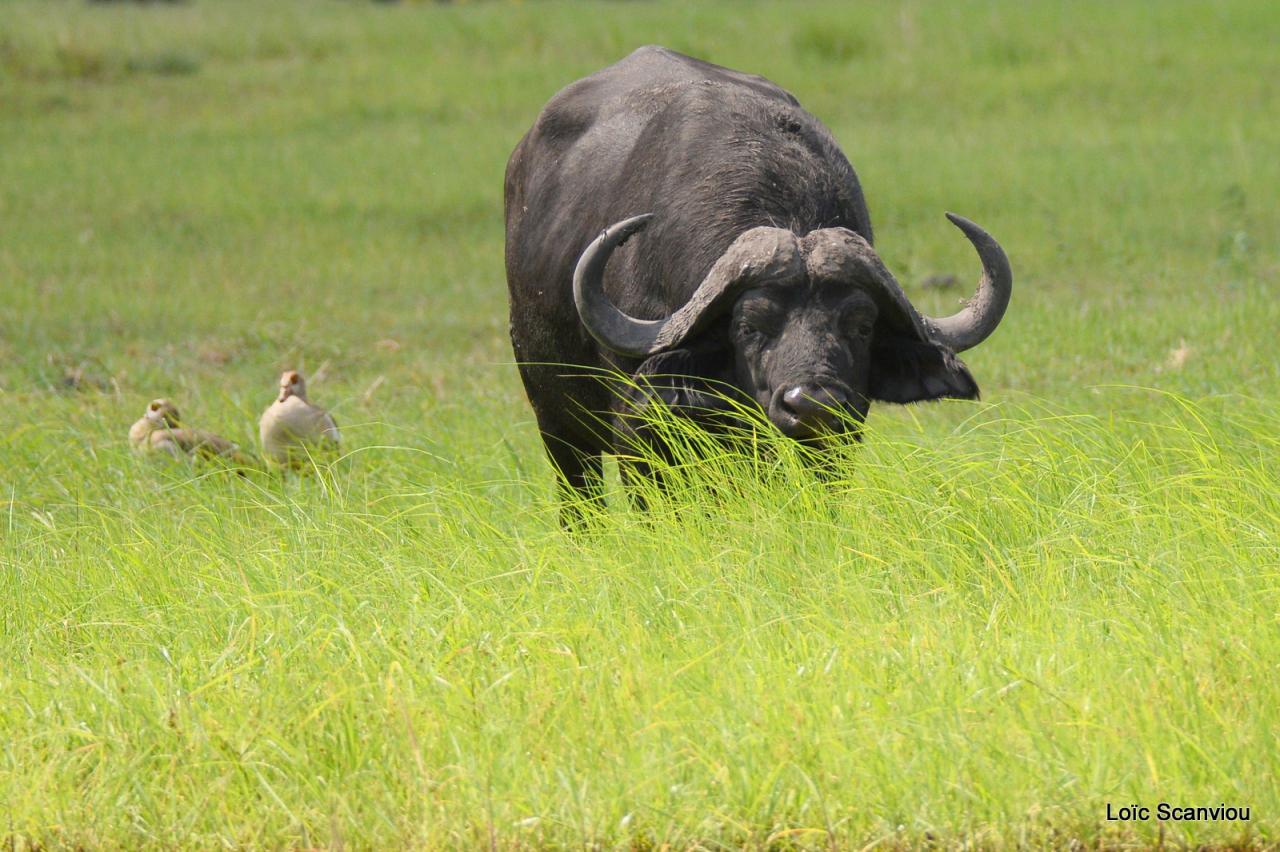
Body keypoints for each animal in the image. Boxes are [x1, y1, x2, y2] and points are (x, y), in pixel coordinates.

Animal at [501, 46, 1008, 514]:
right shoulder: (637, 433)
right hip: (557, 422)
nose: (812, 404)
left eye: (862, 327)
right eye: (748, 327)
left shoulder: (837, 438)